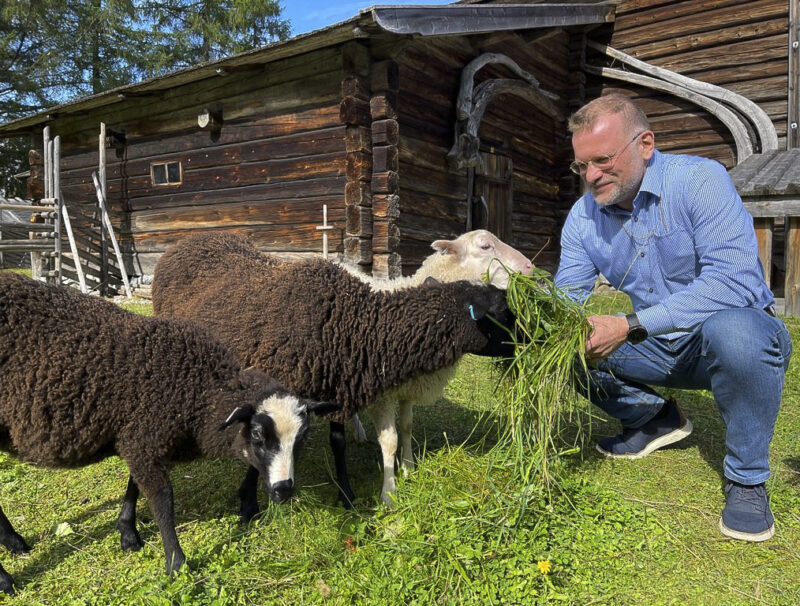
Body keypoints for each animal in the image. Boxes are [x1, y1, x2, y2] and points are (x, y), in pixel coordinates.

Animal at [0, 274, 338, 596]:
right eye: (256, 434)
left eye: (303, 438)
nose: (284, 491)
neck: (198, 391)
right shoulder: (145, 437)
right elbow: (163, 501)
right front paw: (177, 565)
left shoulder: (140, 437)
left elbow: (134, 487)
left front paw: (128, 534)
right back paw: (6, 578)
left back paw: (14, 542)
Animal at [152, 235, 516, 510]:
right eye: (501, 311)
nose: (527, 340)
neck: (355, 321)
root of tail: (189, 240)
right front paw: (250, 501)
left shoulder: (340, 386)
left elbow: (339, 443)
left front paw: (347, 495)